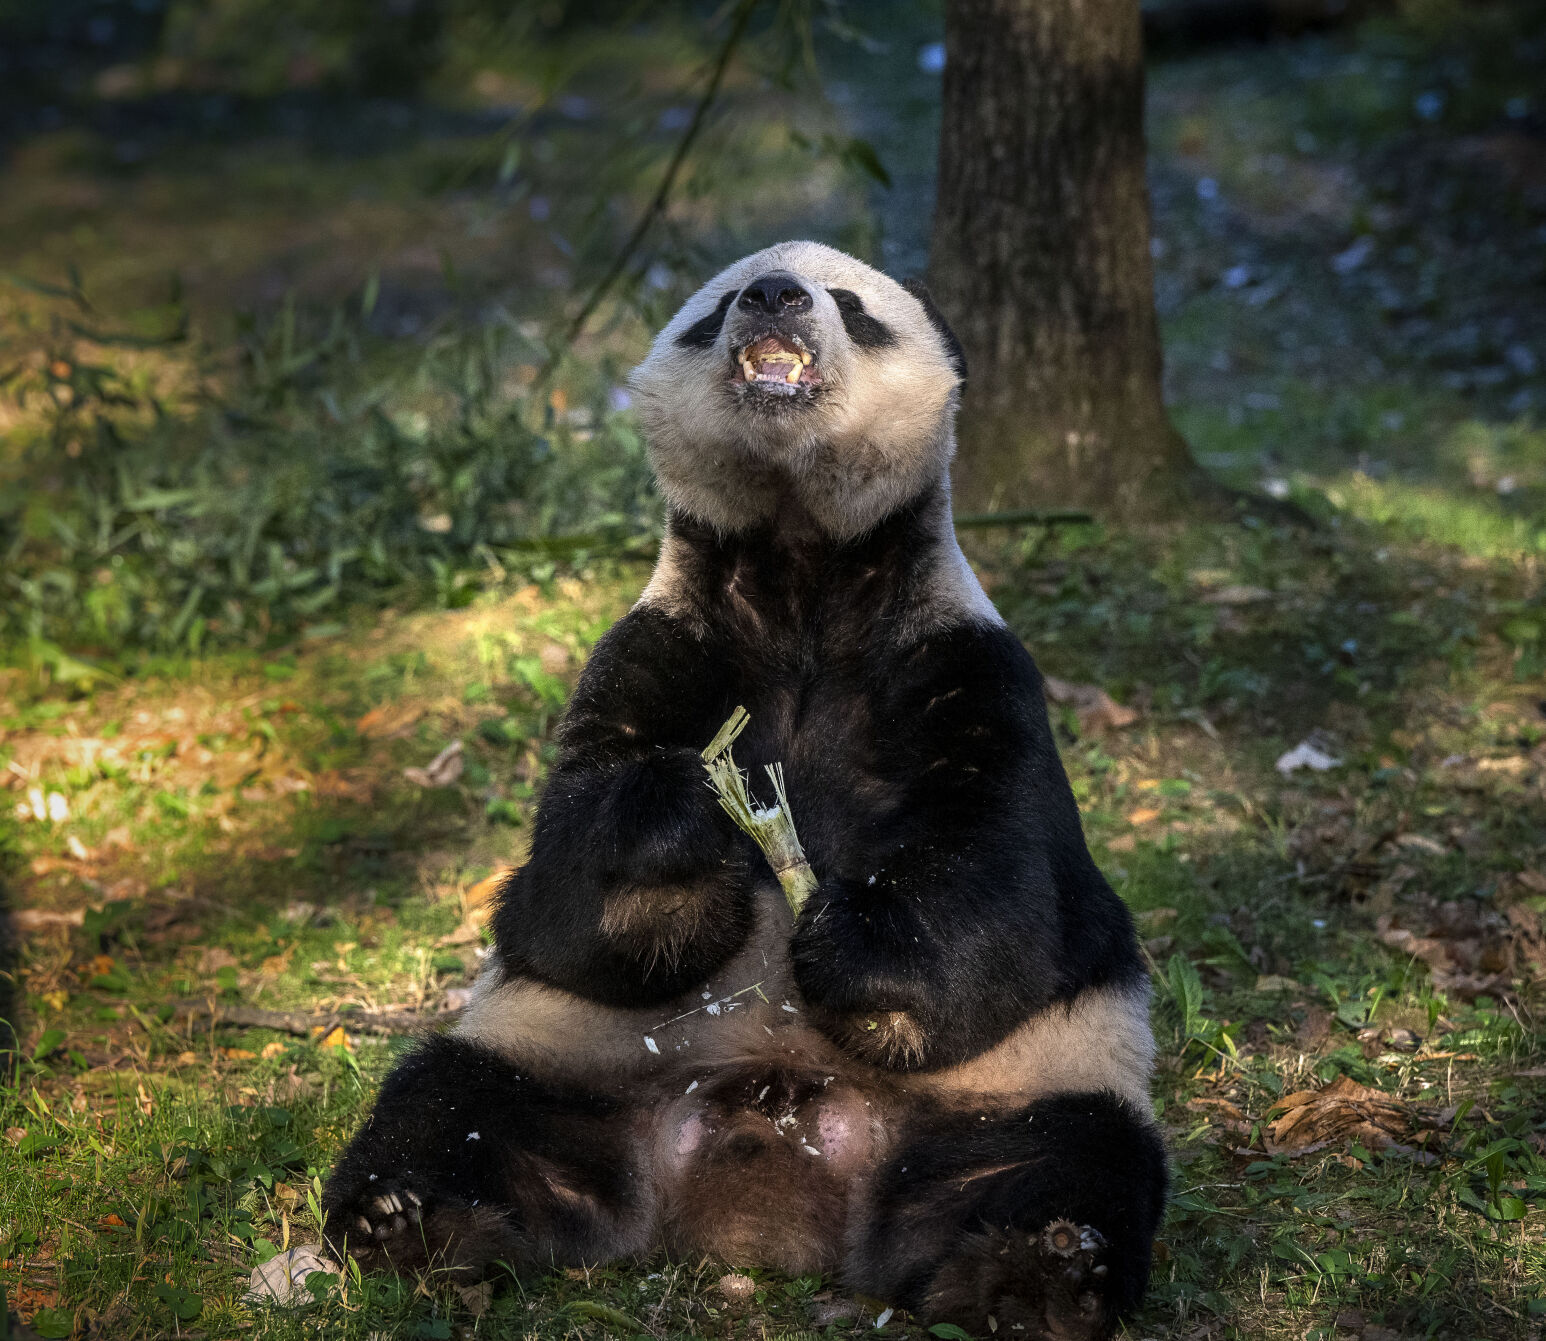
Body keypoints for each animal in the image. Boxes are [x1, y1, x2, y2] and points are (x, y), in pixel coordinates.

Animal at [329, 241, 1168, 1341]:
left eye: (850, 303)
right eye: (719, 303)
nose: (775, 294)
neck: (801, 562)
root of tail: (756, 1195)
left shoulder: (968, 666)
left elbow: (1005, 877)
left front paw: (850, 945)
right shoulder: (659, 647)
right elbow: (564, 890)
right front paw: (691, 815)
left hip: (1026, 1080)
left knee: (1066, 1158)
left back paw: (1039, 1270)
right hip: (559, 1057)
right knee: (452, 1105)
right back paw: (410, 1222)